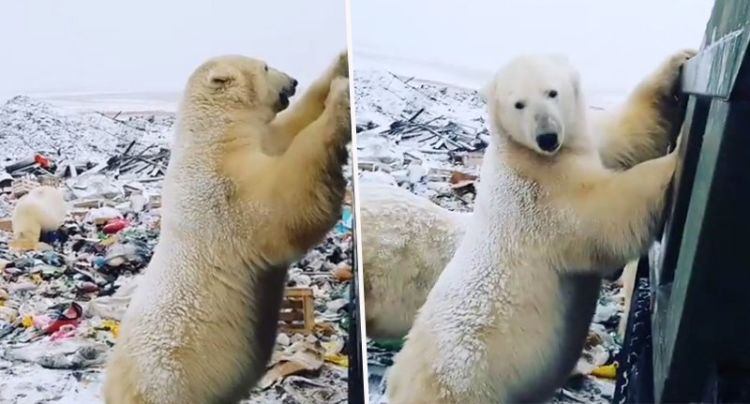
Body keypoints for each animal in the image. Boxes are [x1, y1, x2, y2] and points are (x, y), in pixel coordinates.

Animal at [101, 52, 354, 404]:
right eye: (264, 67)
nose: (292, 81)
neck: (211, 137)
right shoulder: (223, 190)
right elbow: (284, 200)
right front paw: (341, 99)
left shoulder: (259, 141)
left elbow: (289, 126)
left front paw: (340, 65)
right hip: (170, 386)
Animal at [388, 54, 688, 404]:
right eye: (519, 103)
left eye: (552, 92)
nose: (547, 137)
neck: (525, 153)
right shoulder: (537, 193)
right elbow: (601, 212)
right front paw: (674, 159)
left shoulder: (582, 143)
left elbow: (627, 135)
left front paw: (678, 63)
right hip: (466, 383)